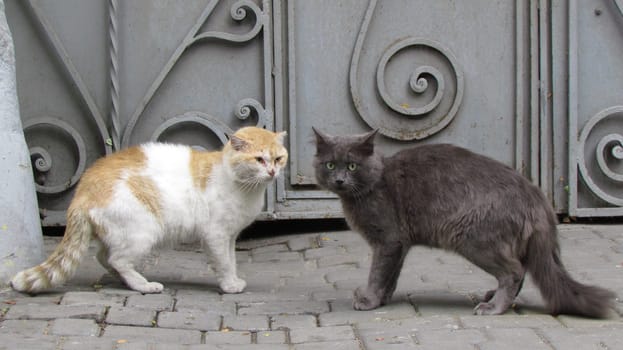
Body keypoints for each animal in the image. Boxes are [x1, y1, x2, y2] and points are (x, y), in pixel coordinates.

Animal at [10, 127, 288, 294]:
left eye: (278, 159)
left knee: (103, 257)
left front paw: (234, 280)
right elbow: (224, 263)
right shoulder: (216, 235)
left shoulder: (230, 236)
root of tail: (81, 192)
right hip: (143, 232)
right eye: (259, 159)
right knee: (117, 259)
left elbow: (231, 260)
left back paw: (125, 278)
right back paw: (143, 285)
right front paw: (229, 285)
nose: (272, 172)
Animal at [314, 128, 616, 318]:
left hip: (472, 238)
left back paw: (494, 307)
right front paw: (383, 298)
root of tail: (537, 197)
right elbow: (391, 274)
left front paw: (369, 299)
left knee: (514, 271)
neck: (373, 183)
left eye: (352, 166)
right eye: (330, 165)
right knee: (520, 271)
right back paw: (493, 297)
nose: (339, 180)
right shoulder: (400, 243)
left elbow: (378, 273)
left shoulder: (388, 239)